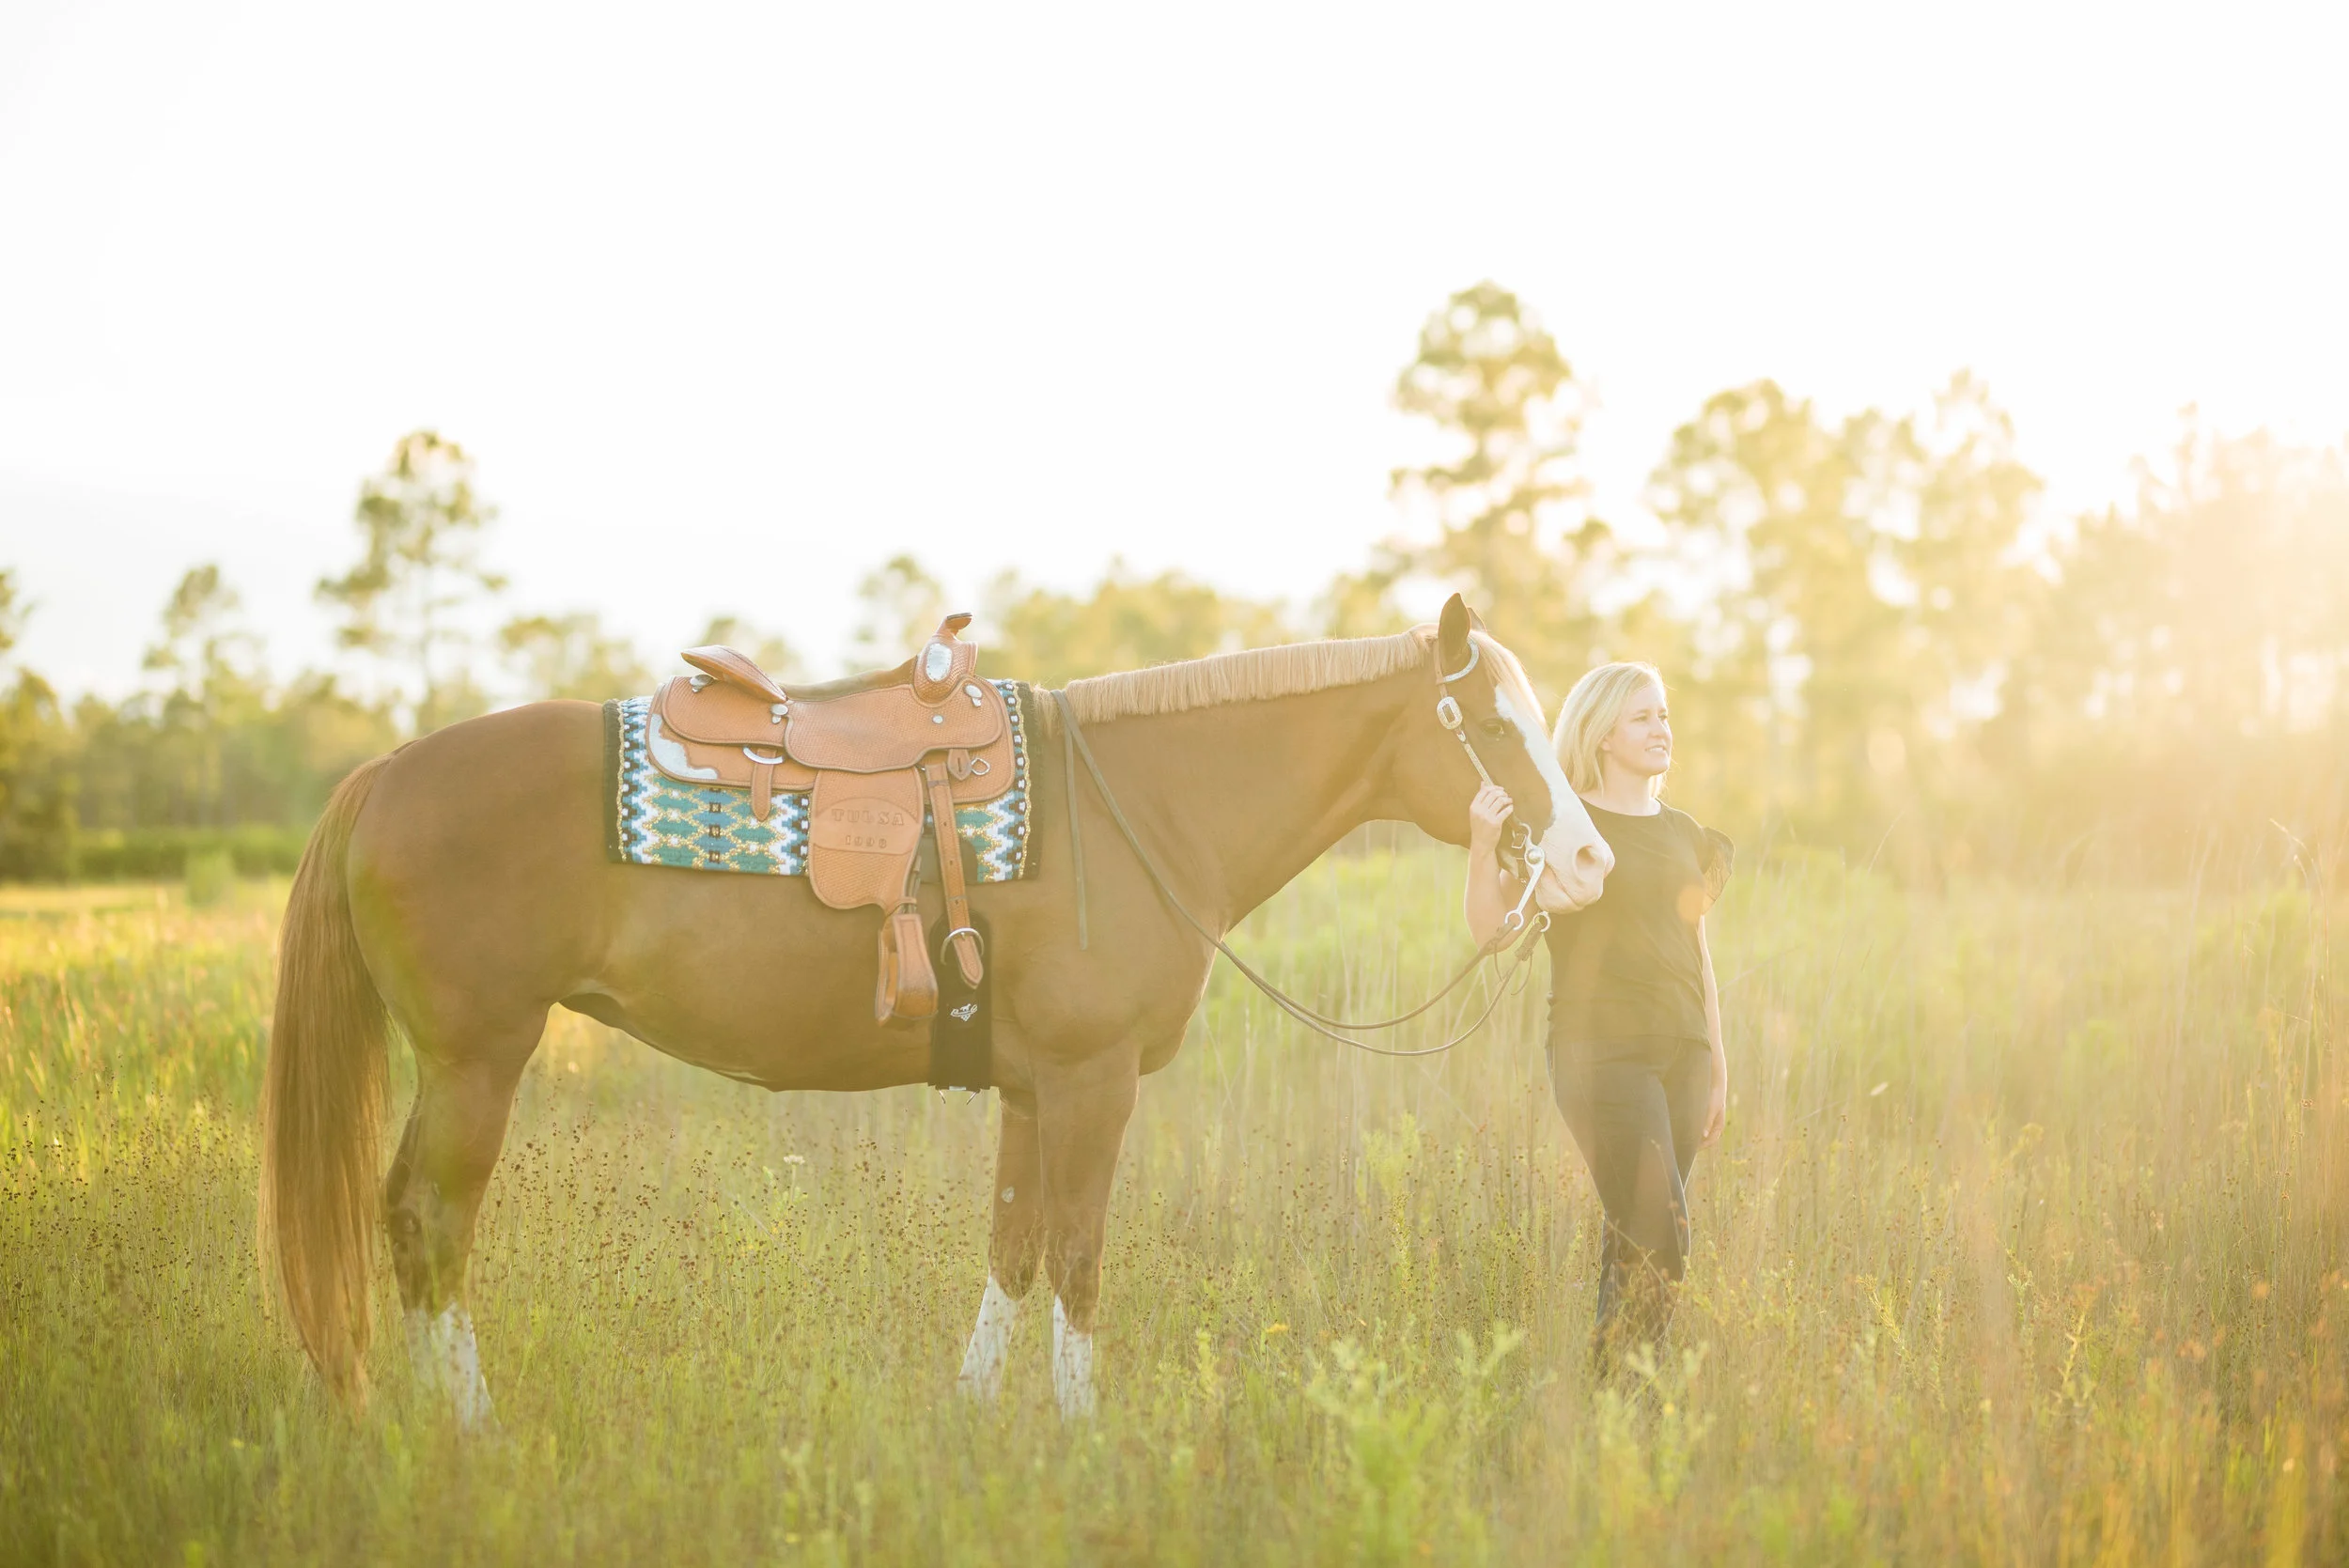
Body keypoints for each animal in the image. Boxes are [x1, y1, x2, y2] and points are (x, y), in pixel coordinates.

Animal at [260, 594, 1612, 1423]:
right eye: (1491, 724)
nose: (1590, 860)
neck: (1138, 805)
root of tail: (385, 773)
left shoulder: (1030, 1088)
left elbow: (1011, 1250)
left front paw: (975, 1420)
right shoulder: (1090, 1082)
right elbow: (1078, 1255)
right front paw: (1083, 1433)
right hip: (476, 1060)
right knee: (428, 1225)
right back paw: (470, 1428)